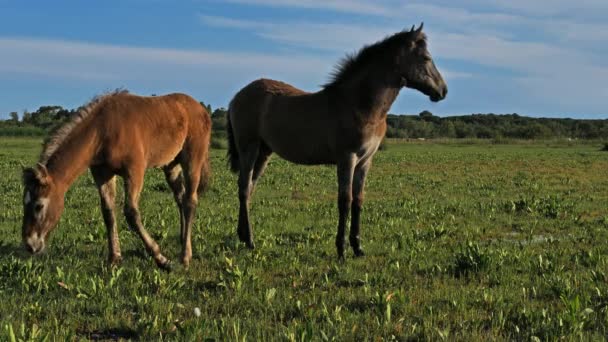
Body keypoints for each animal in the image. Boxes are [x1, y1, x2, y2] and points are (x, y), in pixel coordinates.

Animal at [20, 91, 211, 270]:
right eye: (24, 203)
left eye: (39, 206)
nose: (29, 245)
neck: (102, 130)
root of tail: (201, 109)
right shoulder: (102, 173)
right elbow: (108, 212)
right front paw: (114, 258)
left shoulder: (135, 171)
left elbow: (131, 213)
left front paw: (160, 258)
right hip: (171, 165)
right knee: (180, 198)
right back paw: (183, 240)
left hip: (192, 159)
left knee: (189, 201)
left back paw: (185, 256)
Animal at [227, 23, 446, 260]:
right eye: (425, 57)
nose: (442, 90)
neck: (359, 105)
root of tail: (237, 96)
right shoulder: (346, 158)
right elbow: (345, 200)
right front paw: (341, 250)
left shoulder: (365, 161)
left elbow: (358, 200)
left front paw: (358, 247)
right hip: (248, 147)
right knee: (244, 187)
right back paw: (250, 241)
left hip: (264, 151)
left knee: (250, 187)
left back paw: (243, 236)